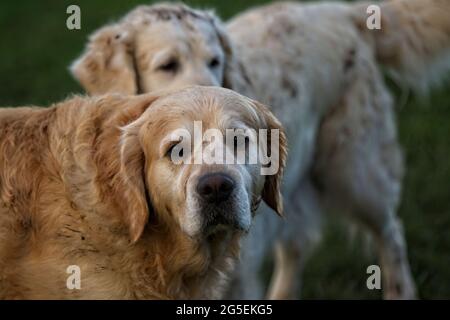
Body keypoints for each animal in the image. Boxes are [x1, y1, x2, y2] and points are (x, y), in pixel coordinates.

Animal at [70, 0, 450, 300]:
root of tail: (340, 10)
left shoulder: (235, 275)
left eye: (215, 61)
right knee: (298, 244)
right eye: (168, 66)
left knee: (391, 233)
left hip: (356, 173)